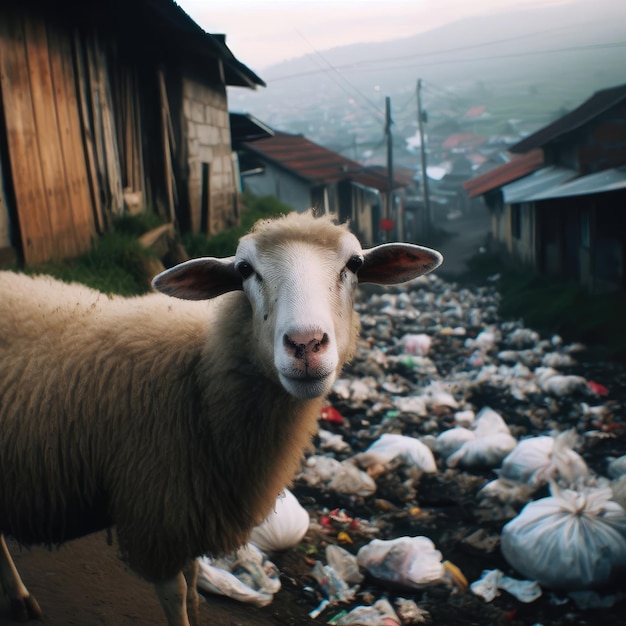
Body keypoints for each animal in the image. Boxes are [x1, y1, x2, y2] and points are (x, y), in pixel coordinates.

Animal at [0, 208, 442, 620]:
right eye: (245, 269)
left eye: (354, 263)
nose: (305, 344)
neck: (199, 376)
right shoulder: (159, 516)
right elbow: (177, 594)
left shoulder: (192, 506)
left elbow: (194, 580)